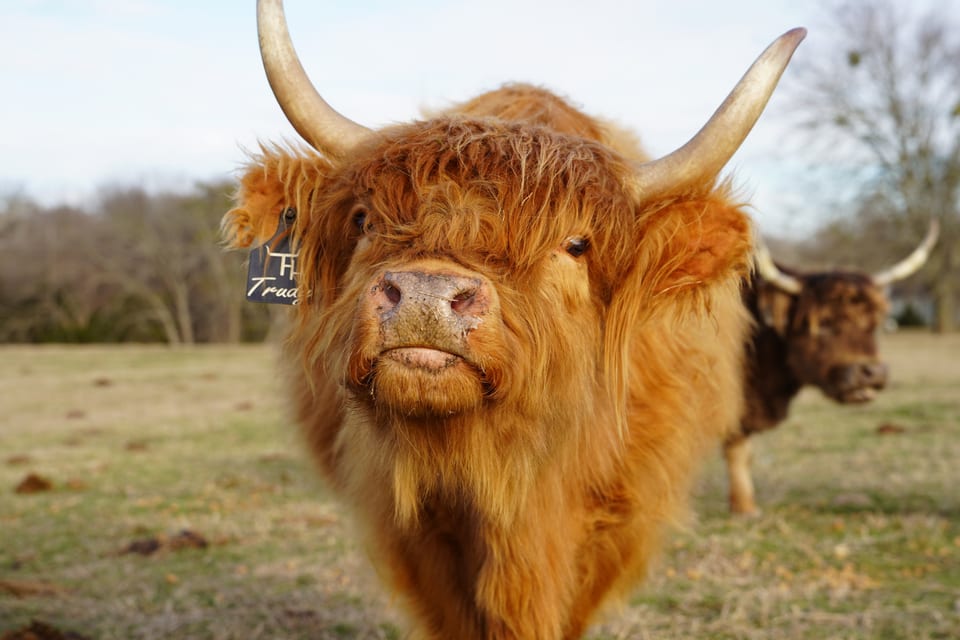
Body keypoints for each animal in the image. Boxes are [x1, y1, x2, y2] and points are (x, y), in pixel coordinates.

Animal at [723, 221, 939, 515]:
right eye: (823, 323)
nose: (871, 373)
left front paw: (745, 505)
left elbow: (742, 451)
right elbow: (735, 447)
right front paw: (744, 508)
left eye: (874, 323)